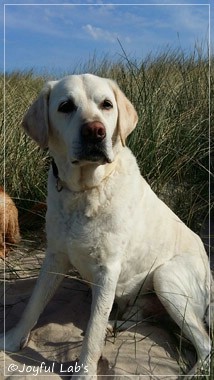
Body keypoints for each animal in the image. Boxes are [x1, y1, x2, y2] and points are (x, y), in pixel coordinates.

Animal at [0, 73, 213, 378]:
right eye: (65, 106)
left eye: (107, 104)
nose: (95, 131)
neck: (85, 191)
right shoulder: (55, 257)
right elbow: (33, 305)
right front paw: (12, 340)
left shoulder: (107, 271)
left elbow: (93, 332)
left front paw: (85, 372)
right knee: (140, 318)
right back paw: (117, 325)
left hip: (166, 277)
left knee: (206, 345)